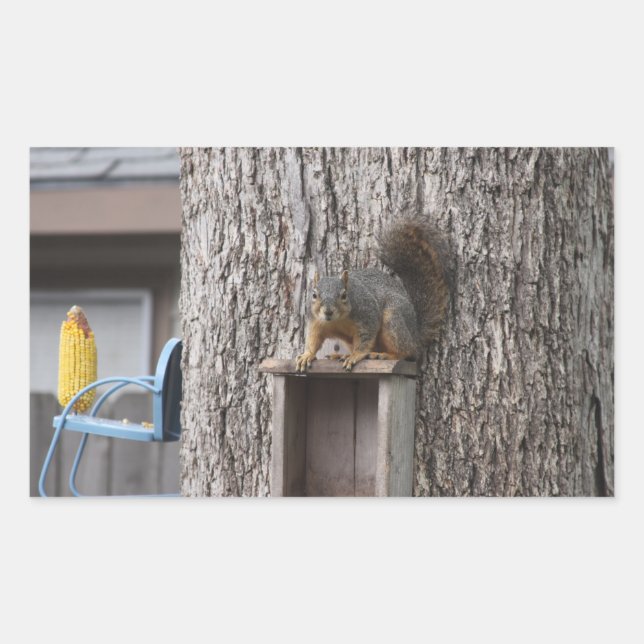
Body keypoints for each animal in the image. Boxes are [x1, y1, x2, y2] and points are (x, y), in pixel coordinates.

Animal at [295, 215, 452, 372]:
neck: (337, 320)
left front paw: (355, 355)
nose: (328, 312)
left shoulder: (367, 315)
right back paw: (341, 355)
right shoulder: (316, 321)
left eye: (344, 295)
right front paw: (307, 355)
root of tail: (416, 335)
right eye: (314, 295)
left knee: (408, 352)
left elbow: (366, 339)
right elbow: (313, 339)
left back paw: (383, 355)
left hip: (393, 319)